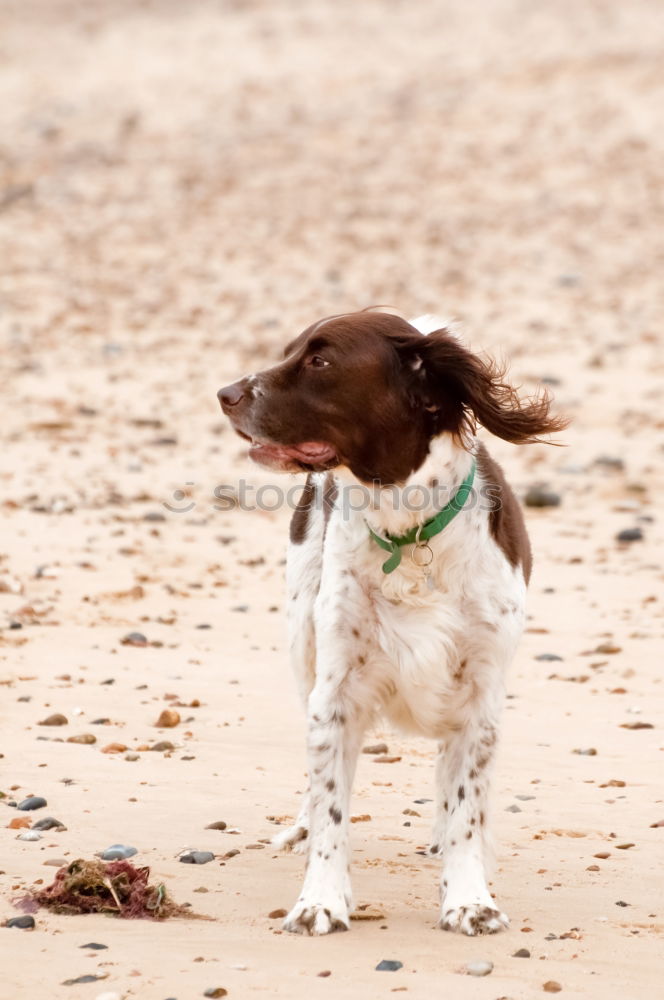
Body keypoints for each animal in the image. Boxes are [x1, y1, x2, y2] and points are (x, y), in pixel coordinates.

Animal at [218, 308, 564, 932]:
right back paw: (301, 828)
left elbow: (467, 805)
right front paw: (319, 900)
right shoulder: (334, 693)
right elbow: (331, 805)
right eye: (290, 351)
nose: (226, 393)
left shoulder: (481, 696)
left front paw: (469, 897)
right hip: (302, 640)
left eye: (320, 360)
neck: (409, 528)